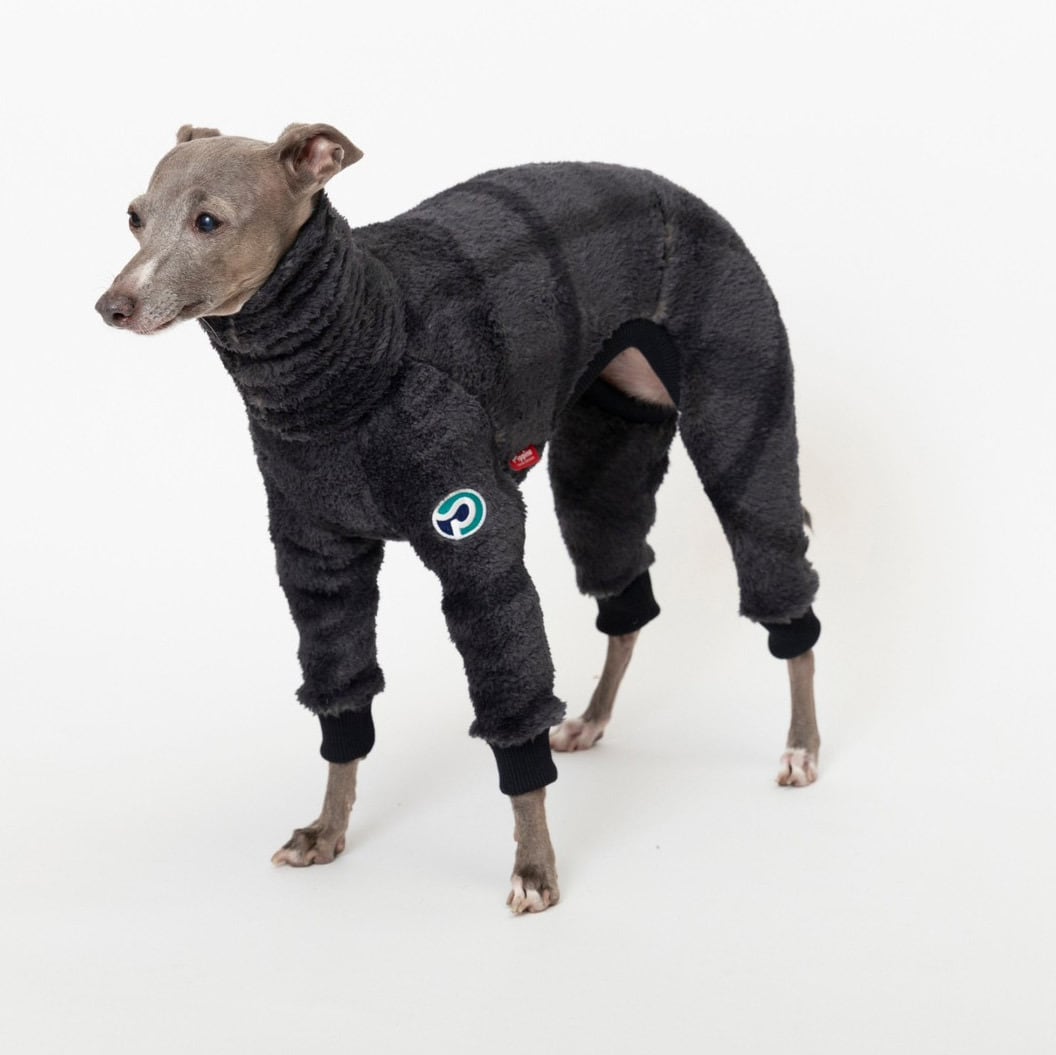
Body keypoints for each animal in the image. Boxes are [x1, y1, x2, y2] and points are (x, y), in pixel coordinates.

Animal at [95, 123, 821, 913]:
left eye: (208, 221)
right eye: (134, 217)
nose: (112, 305)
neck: (355, 357)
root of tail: (675, 194)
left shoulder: (474, 537)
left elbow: (511, 699)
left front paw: (535, 866)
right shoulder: (317, 561)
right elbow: (341, 699)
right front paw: (328, 829)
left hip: (738, 402)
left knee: (779, 570)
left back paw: (802, 743)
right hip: (604, 450)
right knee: (627, 597)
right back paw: (594, 718)